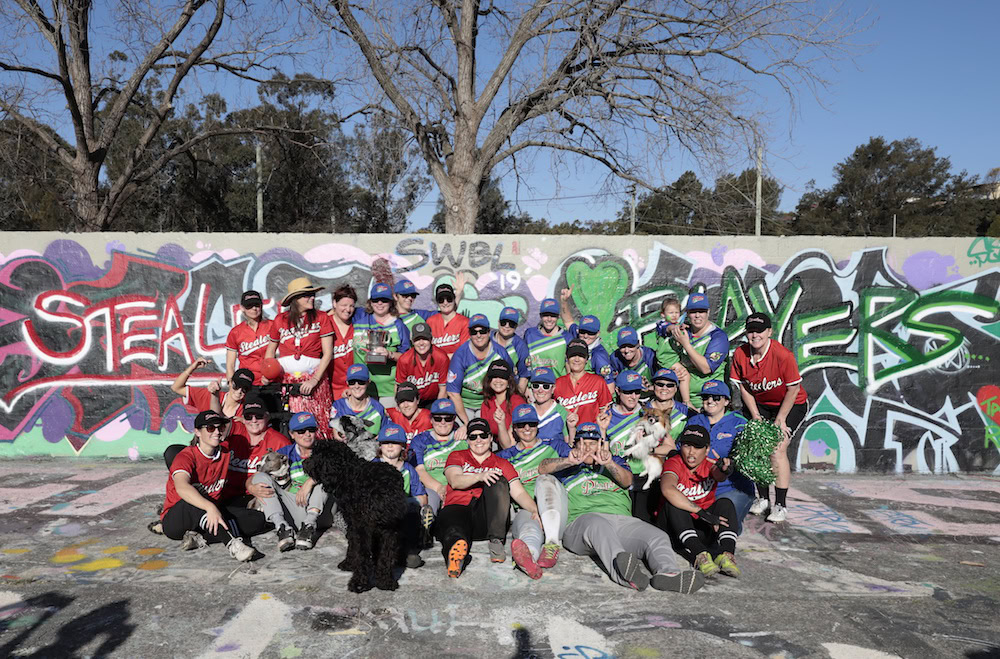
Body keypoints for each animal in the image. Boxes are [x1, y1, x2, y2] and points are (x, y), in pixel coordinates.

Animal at [302, 438, 404, 592]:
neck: (348, 472)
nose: (304, 463)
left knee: (362, 555)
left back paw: (358, 583)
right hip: (391, 530)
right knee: (386, 555)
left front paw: (348, 563)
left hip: (365, 527)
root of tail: (384, 491)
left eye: (315, 455)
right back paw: (385, 581)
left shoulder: (353, 523)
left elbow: (353, 545)